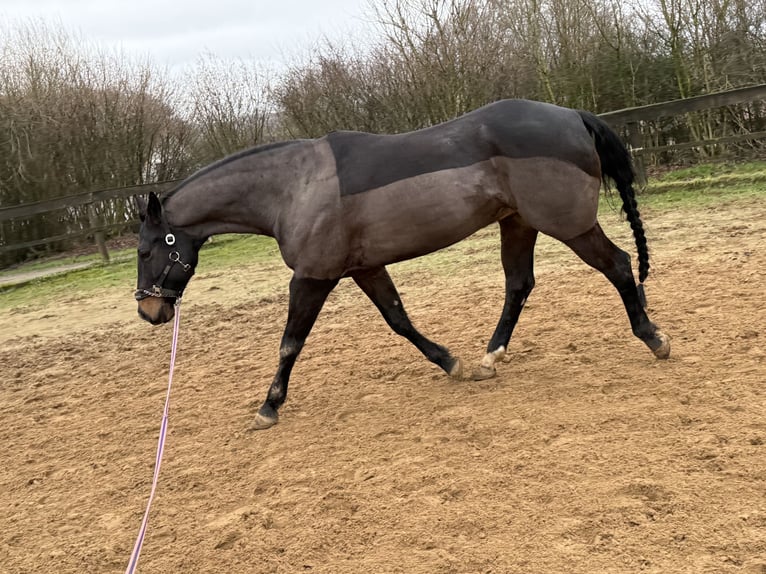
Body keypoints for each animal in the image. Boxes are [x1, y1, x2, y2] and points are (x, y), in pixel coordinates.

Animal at [134, 99, 670, 430]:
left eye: (145, 250)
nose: (148, 311)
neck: (291, 188)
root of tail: (573, 116)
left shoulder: (313, 277)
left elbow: (290, 343)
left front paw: (268, 407)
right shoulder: (362, 268)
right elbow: (399, 319)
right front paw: (450, 362)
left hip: (568, 225)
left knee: (619, 266)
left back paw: (654, 338)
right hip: (518, 223)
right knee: (519, 284)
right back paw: (488, 359)